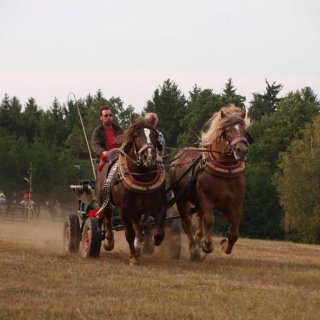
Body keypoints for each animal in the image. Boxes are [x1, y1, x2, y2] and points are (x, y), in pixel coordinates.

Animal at [95, 117, 166, 264]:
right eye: (137, 136)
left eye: (154, 135)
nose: (149, 156)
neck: (143, 178)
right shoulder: (124, 210)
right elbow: (129, 234)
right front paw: (133, 257)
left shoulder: (159, 206)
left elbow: (158, 232)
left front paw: (146, 245)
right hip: (103, 200)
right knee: (107, 218)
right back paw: (109, 241)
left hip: (136, 211)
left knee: (138, 229)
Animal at [169, 105, 251, 260]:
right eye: (227, 130)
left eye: (244, 130)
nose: (241, 150)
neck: (226, 172)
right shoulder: (206, 199)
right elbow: (209, 221)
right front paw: (207, 245)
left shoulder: (237, 204)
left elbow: (234, 232)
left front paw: (225, 246)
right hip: (181, 198)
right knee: (186, 222)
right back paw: (194, 249)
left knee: (198, 218)